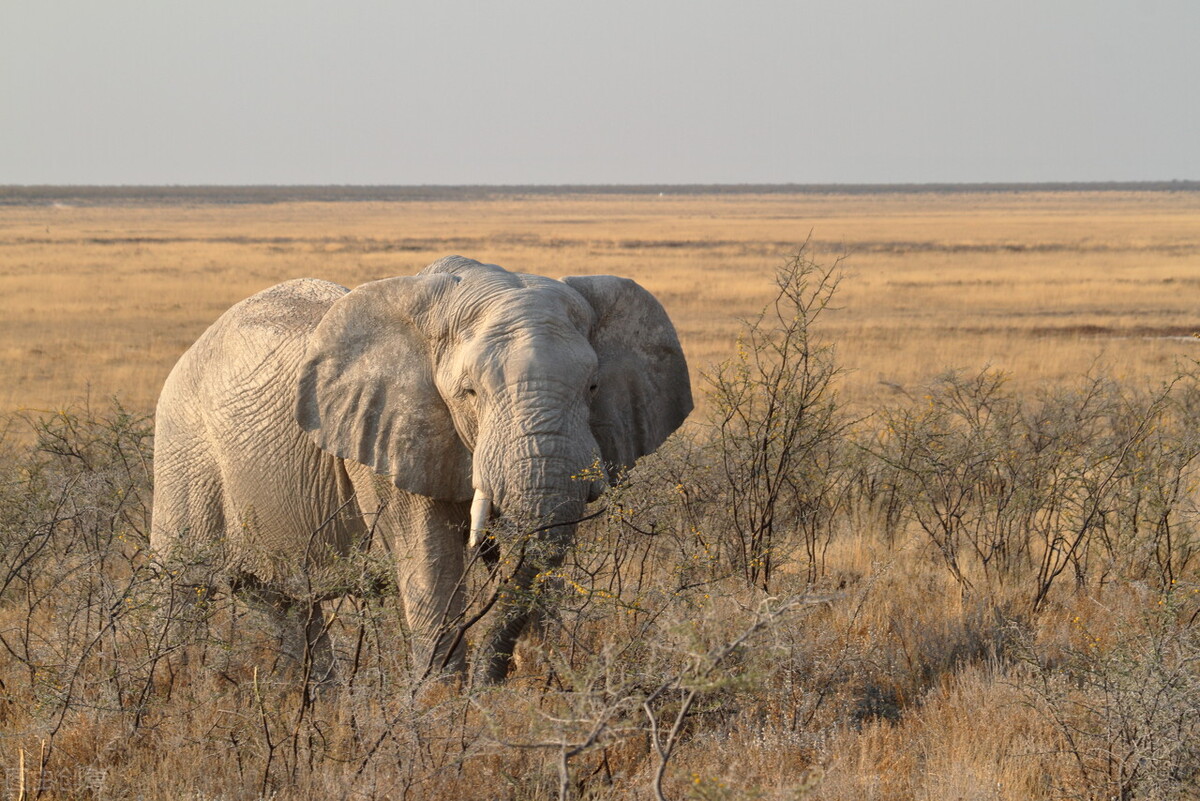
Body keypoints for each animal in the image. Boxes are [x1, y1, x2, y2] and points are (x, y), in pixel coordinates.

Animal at [151, 255, 696, 681]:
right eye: (470, 392)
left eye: (593, 388)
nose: (493, 686)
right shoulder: (389, 433)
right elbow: (430, 560)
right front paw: (445, 710)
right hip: (182, 445)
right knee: (184, 584)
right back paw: (172, 692)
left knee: (281, 601)